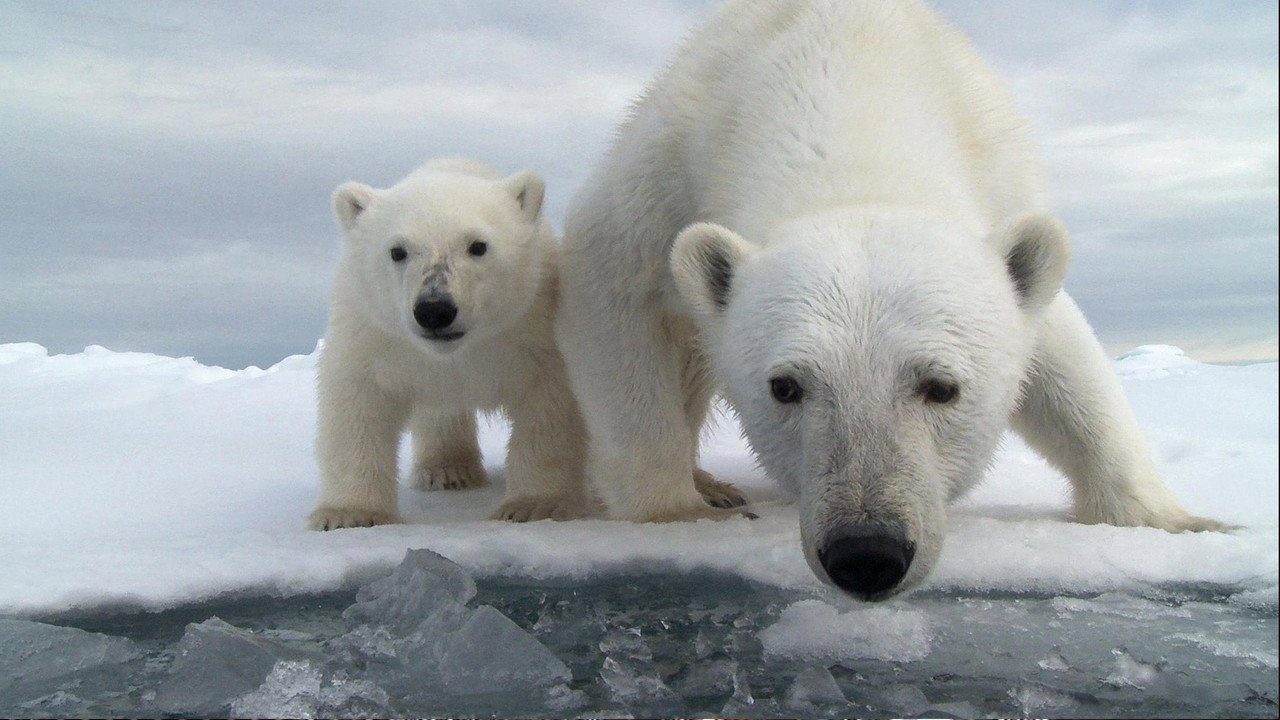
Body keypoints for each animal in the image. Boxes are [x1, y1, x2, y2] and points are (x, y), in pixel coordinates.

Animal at [308, 158, 593, 530]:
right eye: (397, 250)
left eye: (478, 245)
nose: (434, 310)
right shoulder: (375, 336)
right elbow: (358, 404)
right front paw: (349, 514)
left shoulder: (531, 329)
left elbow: (549, 406)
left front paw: (535, 505)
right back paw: (448, 470)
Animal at [554, 0, 1227, 599]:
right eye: (785, 386)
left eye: (943, 386)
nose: (866, 554)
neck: (849, 65)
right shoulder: (669, 168)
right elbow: (613, 293)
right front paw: (676, 513)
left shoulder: (999, 184)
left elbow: (1065, 361)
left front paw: (1180, 522)